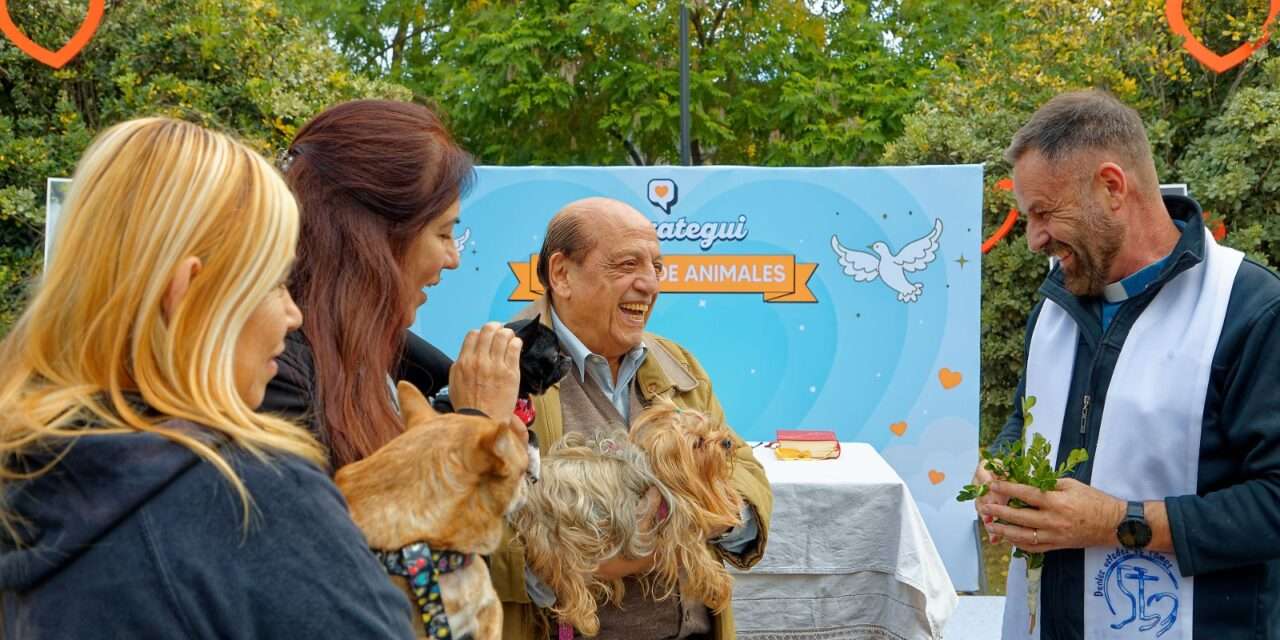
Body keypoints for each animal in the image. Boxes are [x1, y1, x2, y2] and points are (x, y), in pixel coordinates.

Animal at [627, 399, 742, 614]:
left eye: (711, 428)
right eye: (698, 443)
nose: (727, 441)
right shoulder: (679, 532)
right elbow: (698, 556)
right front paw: (718, 588)